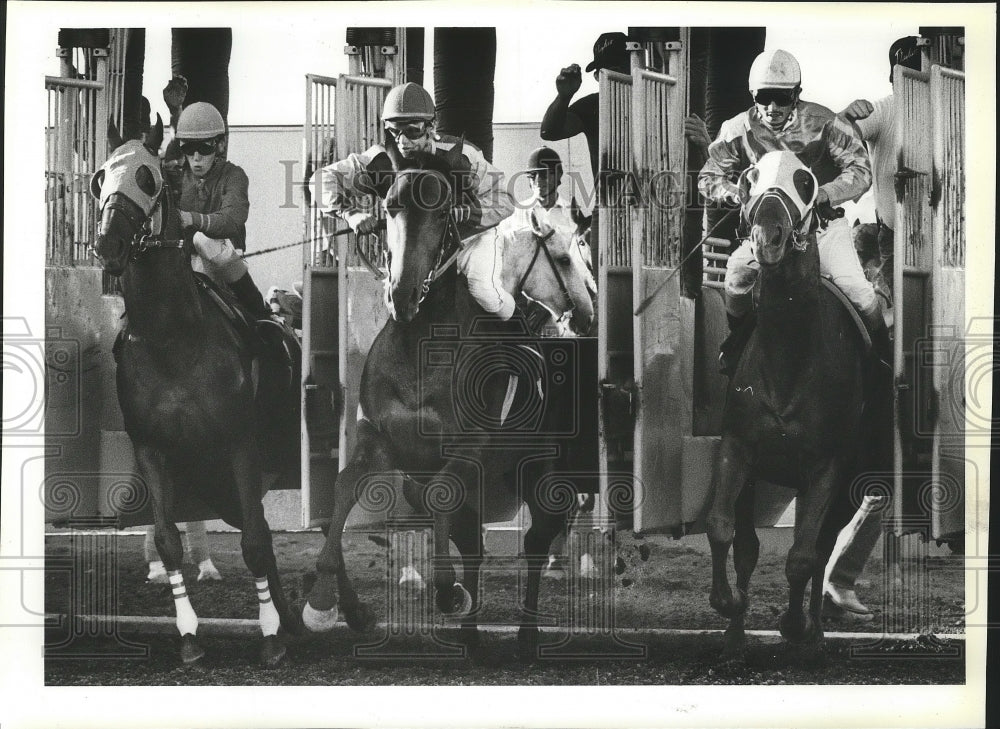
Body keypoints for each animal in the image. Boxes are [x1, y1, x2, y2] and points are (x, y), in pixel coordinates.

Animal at [92, 125, 298, 664]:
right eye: (100, 176)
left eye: (147, 176)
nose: (107, 244)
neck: (173, 340)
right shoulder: (152, 448)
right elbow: (167, 540)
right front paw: (188, 635)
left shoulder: (239, 443)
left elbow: (252, 542)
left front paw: (269, 637)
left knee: (266, 531)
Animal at [298, 134, 592, 656]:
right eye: (390, 207)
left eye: (440, 213)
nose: (403, 293)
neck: (420, 348)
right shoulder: (379, 439)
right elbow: (344, 488)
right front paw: (330, 604)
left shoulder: (465, 449)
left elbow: (440, 494)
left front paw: (445, 589)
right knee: (473, 544)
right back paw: (472, 635)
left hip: (544, 480)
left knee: (536, 544)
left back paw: (525, 632)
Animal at [708, 151, 888, 656]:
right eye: (748, 178)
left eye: (806, 181)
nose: (769, 235)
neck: (790, 359)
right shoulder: (738, 448)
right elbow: (726, 531)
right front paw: (730, 611)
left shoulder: (827, 467)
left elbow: (803, 556)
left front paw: (795, 627)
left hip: (849, 483)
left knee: (821, 549)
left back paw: (815, 634)